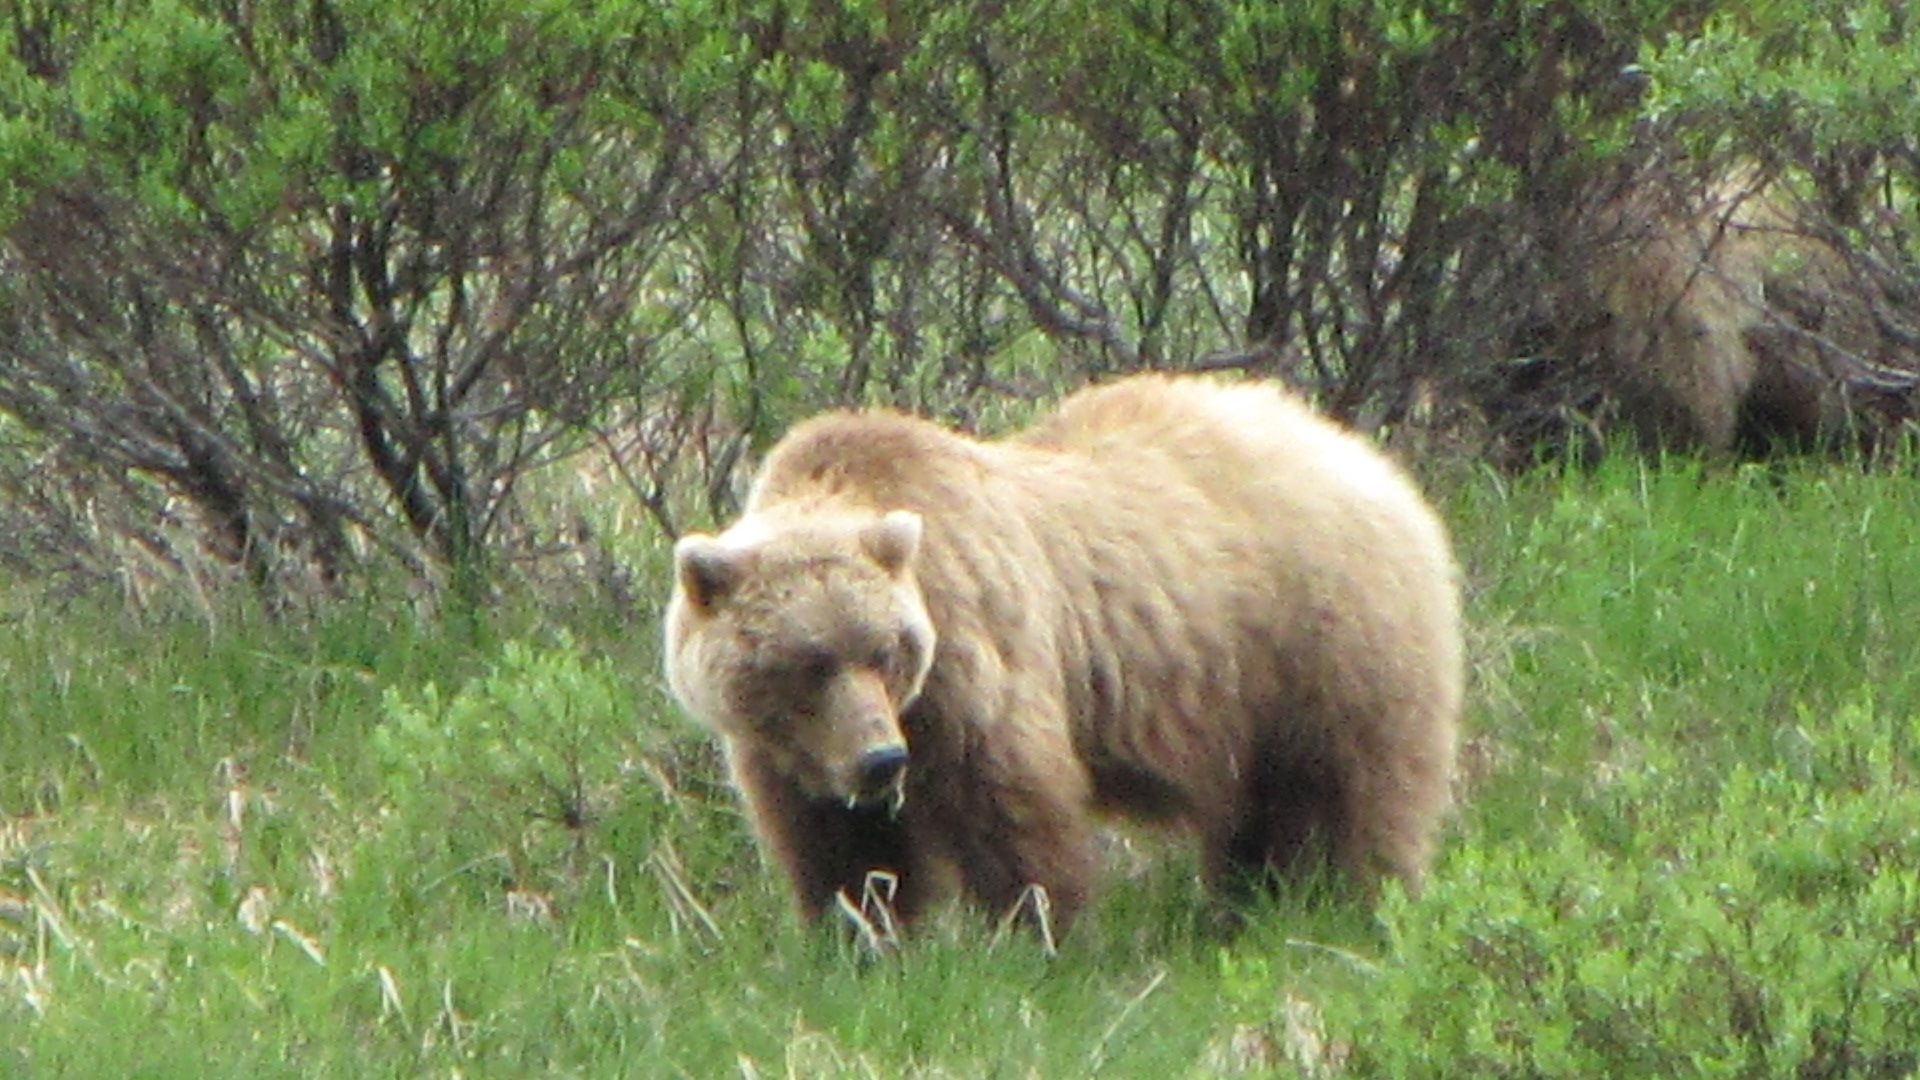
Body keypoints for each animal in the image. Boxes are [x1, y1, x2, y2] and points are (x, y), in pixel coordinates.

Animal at [663, 374, 1464, 936]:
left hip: (1323, 639)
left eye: (887, 652)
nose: (880, 761)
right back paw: (1248, 904)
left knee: (1353, 791)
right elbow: (839, 850)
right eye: (809, 661)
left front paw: (1041, 935)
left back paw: (1355, 901)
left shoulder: (973, 658)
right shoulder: (789, 753)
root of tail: (1359, 451)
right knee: (1260, 816)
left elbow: (1016, 807)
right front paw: (857, 935)